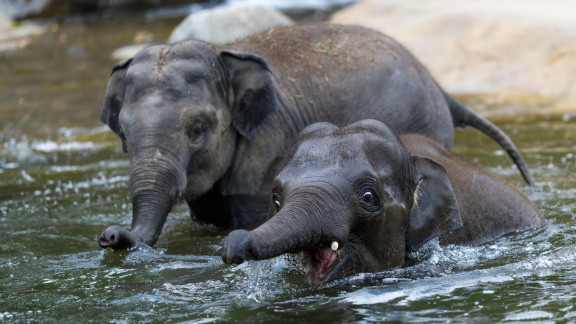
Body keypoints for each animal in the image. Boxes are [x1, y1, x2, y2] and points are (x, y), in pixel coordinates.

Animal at [99, 23, 536, 251]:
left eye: (197, 130)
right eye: (123, 132)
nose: (109, 236)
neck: (225, 52)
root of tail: (439, 86)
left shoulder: (266, 144)